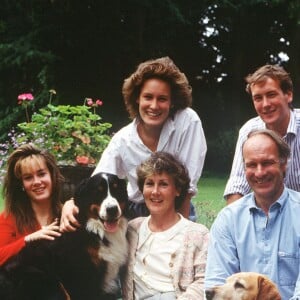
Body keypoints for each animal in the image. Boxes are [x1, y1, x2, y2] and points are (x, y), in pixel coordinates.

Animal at [0, 172, 127, 300]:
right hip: (46, 280)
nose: (112, 209)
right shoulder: (82, 277)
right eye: (98, 192)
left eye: (116, 189)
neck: (94, 229)